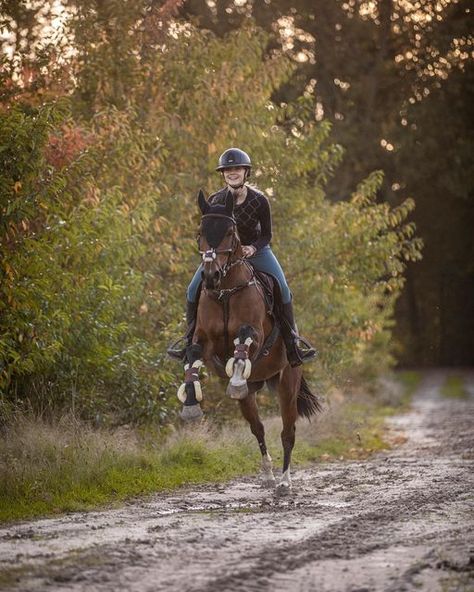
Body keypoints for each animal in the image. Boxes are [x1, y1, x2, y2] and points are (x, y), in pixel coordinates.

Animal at [177, 188, 322, 490]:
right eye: (200, 231)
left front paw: (237, 373)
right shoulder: (204, 340)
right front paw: (191, 403)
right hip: (250, 396)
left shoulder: (255, 333)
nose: (210, 275)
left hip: (287, 383)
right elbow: (193, 354)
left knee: (288, 431)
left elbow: (243, 341)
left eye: (230, 231)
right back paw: (267, 474)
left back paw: (284, 481)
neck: (225, 291)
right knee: (258, 427)